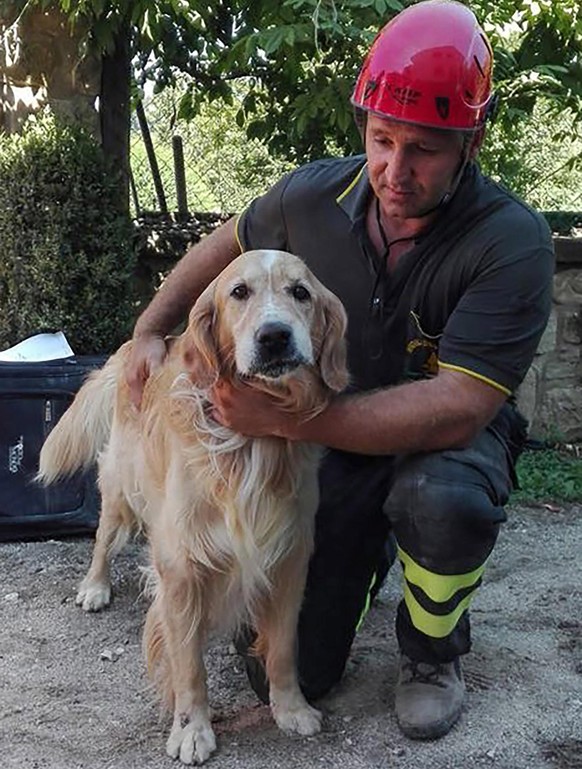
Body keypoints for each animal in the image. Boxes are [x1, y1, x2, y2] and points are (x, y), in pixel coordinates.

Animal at [38, 250, 350, 760]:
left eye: (300, 293)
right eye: (238, 292)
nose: (274, 336)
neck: (250, 445)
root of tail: (138, 343)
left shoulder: (289, 557)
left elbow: (284, 648)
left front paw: (291, 708)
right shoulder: (182, 568)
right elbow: (188, 665)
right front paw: (191, 729)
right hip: (121, 489)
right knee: (104, 538)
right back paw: (95, 587)